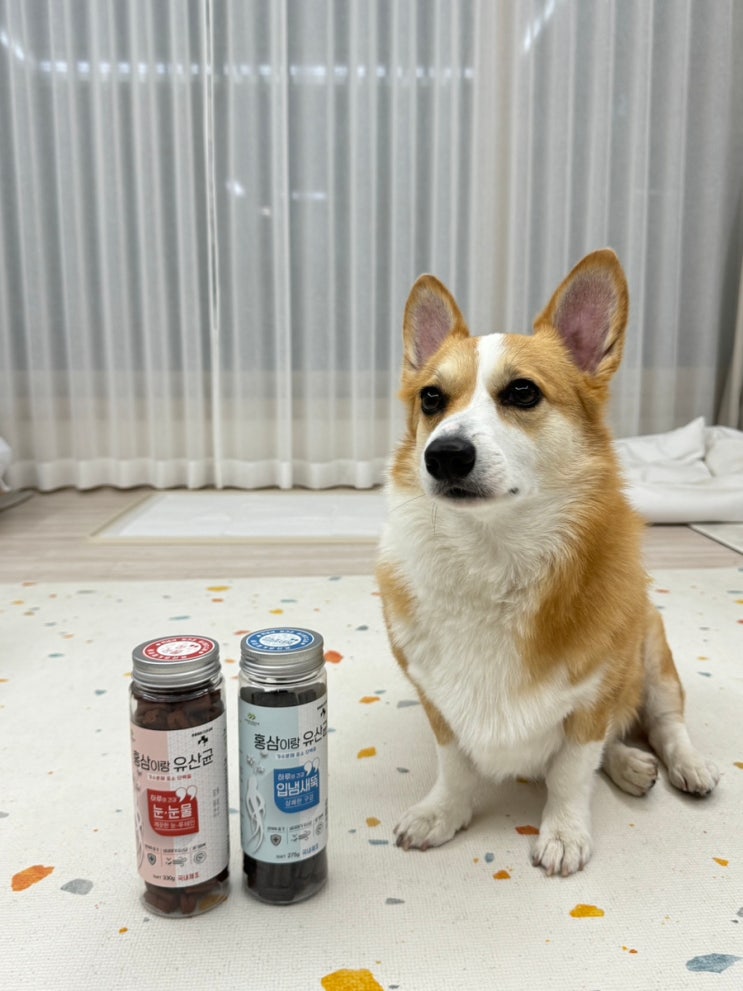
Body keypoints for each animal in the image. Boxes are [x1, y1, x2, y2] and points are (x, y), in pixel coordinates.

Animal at [377, 249, 719, 876]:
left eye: (522, 393)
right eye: (431, 399)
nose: (443, 455)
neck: (494, 557)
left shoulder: (591, 704)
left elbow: (570, 773)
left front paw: (563, 834)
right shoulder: (437, 704)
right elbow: (454, 766)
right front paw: (442, 814)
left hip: (651, 653)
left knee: (665, 722)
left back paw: (681, 765)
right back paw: (632, 766)